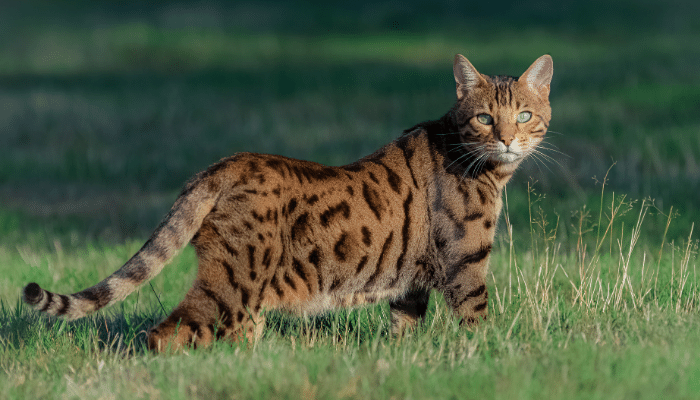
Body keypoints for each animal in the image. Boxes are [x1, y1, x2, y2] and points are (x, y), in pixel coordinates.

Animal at [21, 53, 552, 350]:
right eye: (484, 118)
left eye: (525, 115)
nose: (507, 139)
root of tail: (226, 163)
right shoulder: (466, 263)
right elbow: (477, 324)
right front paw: (491, 358)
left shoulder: (410, 283)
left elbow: (404, 331)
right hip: (234, 282)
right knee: (166, 332)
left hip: (245, 296)